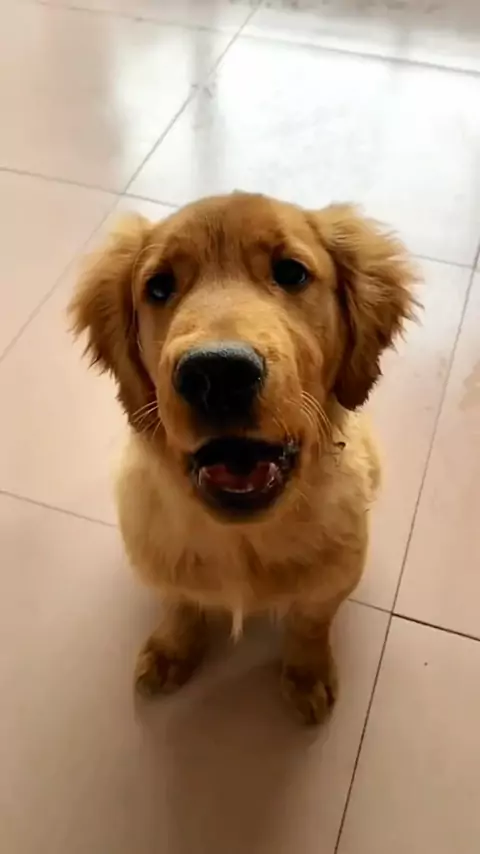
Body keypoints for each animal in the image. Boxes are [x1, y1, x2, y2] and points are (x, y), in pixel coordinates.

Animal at [69, 192, 416, 724]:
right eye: (159, 286)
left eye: (291, 272)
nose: (217, 373)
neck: (242, 540)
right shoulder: (156, 561)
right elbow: (179, 604)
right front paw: (171, 650)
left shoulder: (335, 577)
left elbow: (310, 621)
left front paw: (307, 673)